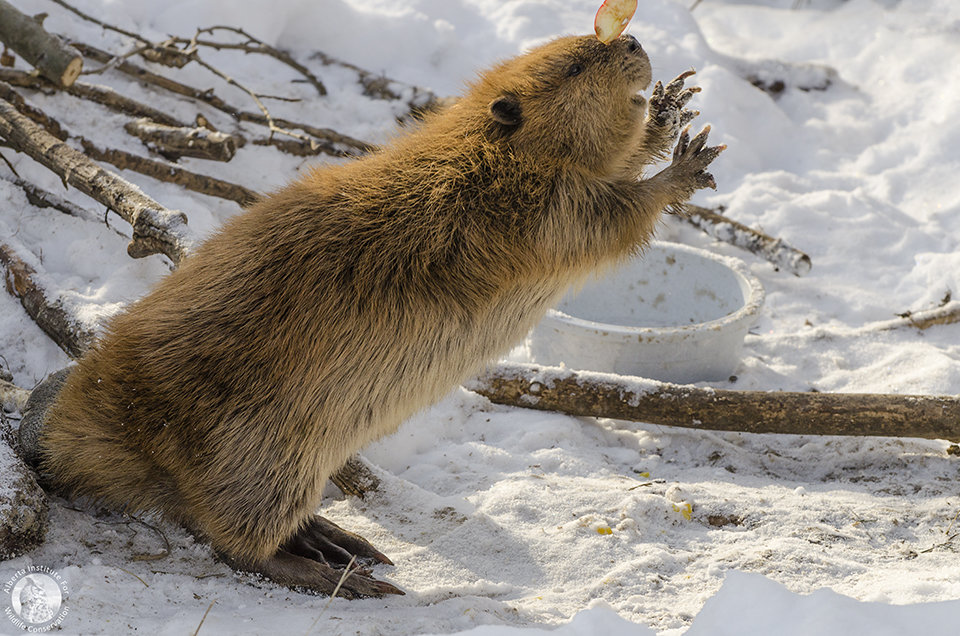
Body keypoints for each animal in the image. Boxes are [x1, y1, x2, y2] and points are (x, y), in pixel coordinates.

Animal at [16, 32, 720, 600]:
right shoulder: (531, 211)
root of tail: (70, 435)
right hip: (265, 453)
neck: (485, 154)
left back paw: (341, 542)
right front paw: (684, 161)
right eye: (576, 64)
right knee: (232, 540)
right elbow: (610, 217)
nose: (633, 45)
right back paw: (344, 571)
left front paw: (671, 107)